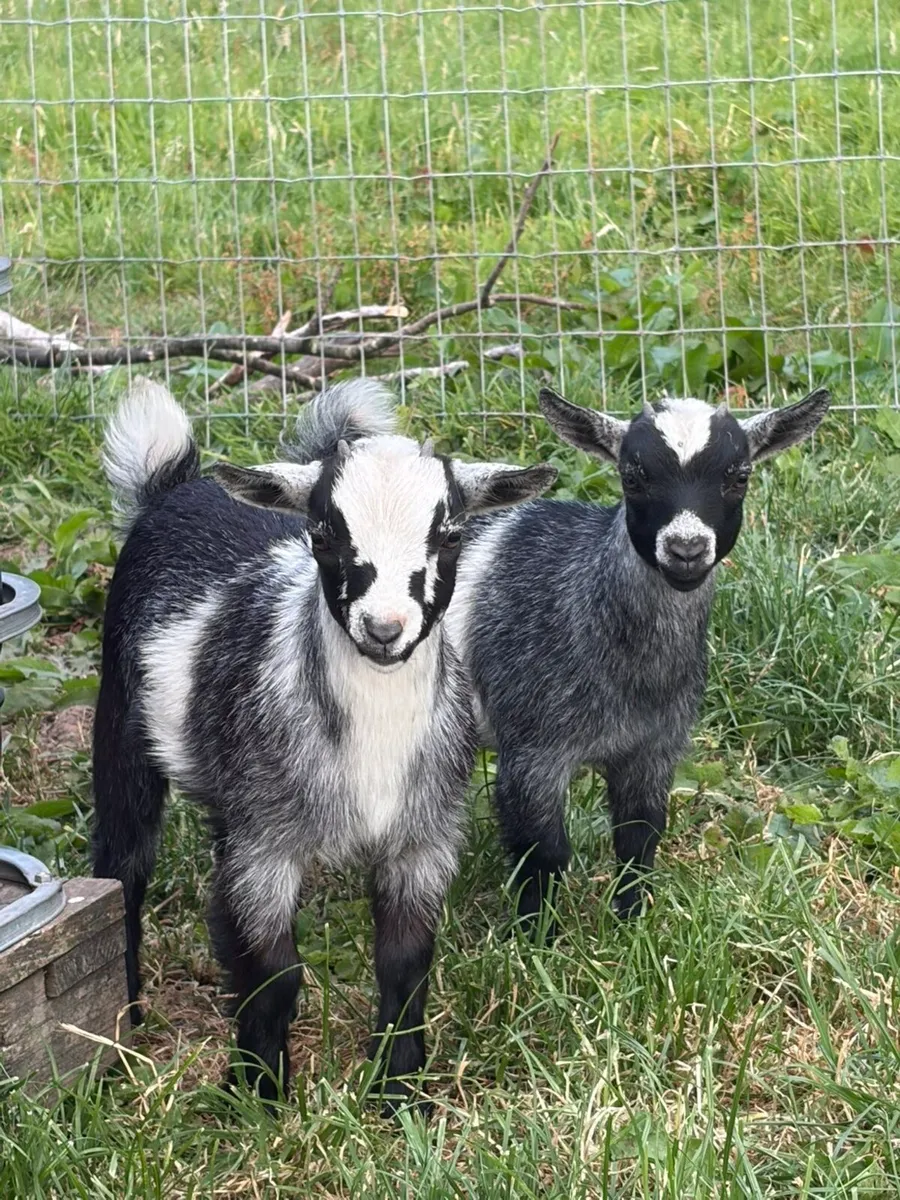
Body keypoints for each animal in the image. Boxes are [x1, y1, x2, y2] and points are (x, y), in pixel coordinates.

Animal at [92, 378, 555, 1108]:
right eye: (325, 532)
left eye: (450, 535)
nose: (384, 628)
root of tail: (175, 485)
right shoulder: (265, 850)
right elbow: (274, 971)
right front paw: (257, 1092)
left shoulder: (423, 839)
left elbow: (406, 961)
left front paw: (397, 1089)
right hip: (120, 717)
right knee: (123, 864)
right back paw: (128, 1019)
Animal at [445, 386, 830, 926]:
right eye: (632, 476)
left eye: (740, 475)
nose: (687, 549)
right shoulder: (531, 751)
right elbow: (542, 851)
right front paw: (536, 935)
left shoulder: (654, 748)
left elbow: (639, 836)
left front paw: (631, 921)